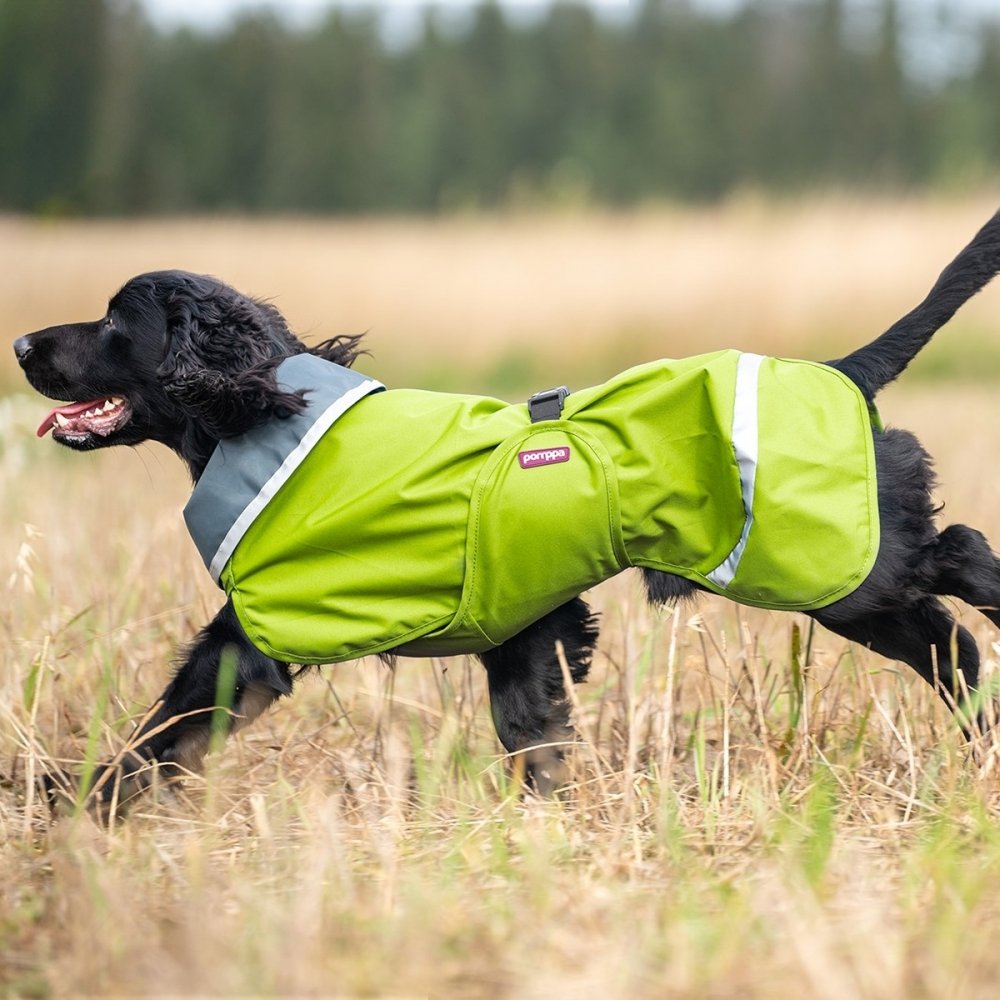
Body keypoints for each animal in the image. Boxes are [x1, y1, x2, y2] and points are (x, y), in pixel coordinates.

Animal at [13, 209, 1000, 804]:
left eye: (114, 322)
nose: (20, 343)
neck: (265, 411)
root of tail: (845, 371)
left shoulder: (255, 639)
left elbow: (160, 734)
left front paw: (71, 807)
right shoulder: (526, 630)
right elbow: (533, 736)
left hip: (840, 564)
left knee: (959, 554)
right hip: (843, 581)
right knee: (948, 642)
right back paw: (982, 737)